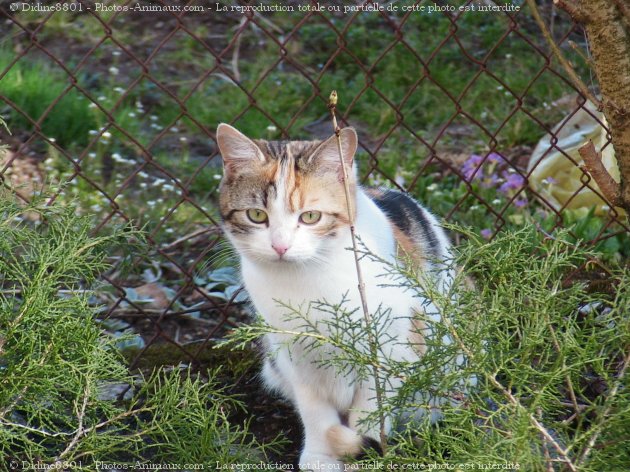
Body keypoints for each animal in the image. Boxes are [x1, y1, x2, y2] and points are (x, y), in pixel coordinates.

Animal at [217, 123, 460, 470]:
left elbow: (372, 408)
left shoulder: (389, 348)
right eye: (256, 215)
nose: (280, 246)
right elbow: (315, 411)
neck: (307, 282)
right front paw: (321, 456)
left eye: (310, 217)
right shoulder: (294, 356)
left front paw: (363, 456)